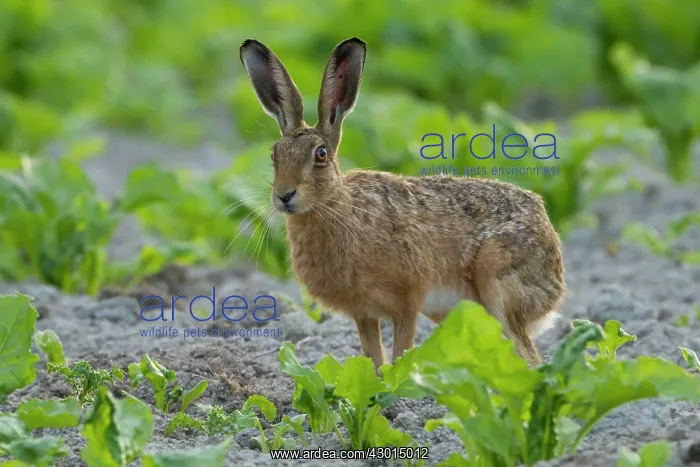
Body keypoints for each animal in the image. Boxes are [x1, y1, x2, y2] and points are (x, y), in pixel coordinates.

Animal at [239, 37, 566, 370]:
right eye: (274, 154)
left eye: (320, 155)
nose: (284, 195)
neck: (337, 205)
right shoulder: (364, 313)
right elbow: (373, 359)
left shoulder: (407, 301)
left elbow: (400, 354)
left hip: (498, 280)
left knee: (528, 357)